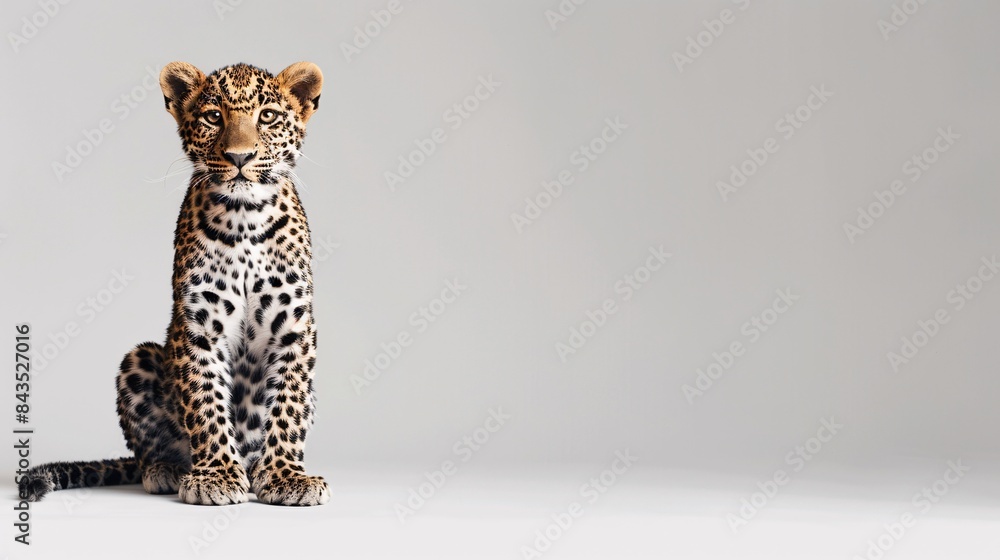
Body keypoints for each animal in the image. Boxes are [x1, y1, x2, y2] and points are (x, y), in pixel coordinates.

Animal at [18, 61, 330, 506]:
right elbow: (205, 401)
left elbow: (288, 406)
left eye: (267, 116)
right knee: (149, 450)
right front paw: (216, 475)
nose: (239, 156)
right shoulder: (198, 324)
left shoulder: (294, 327)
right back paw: (167, 470)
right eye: (213, 116)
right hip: (138, 359)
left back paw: (253, 470)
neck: (245, 218)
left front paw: (285, 476)